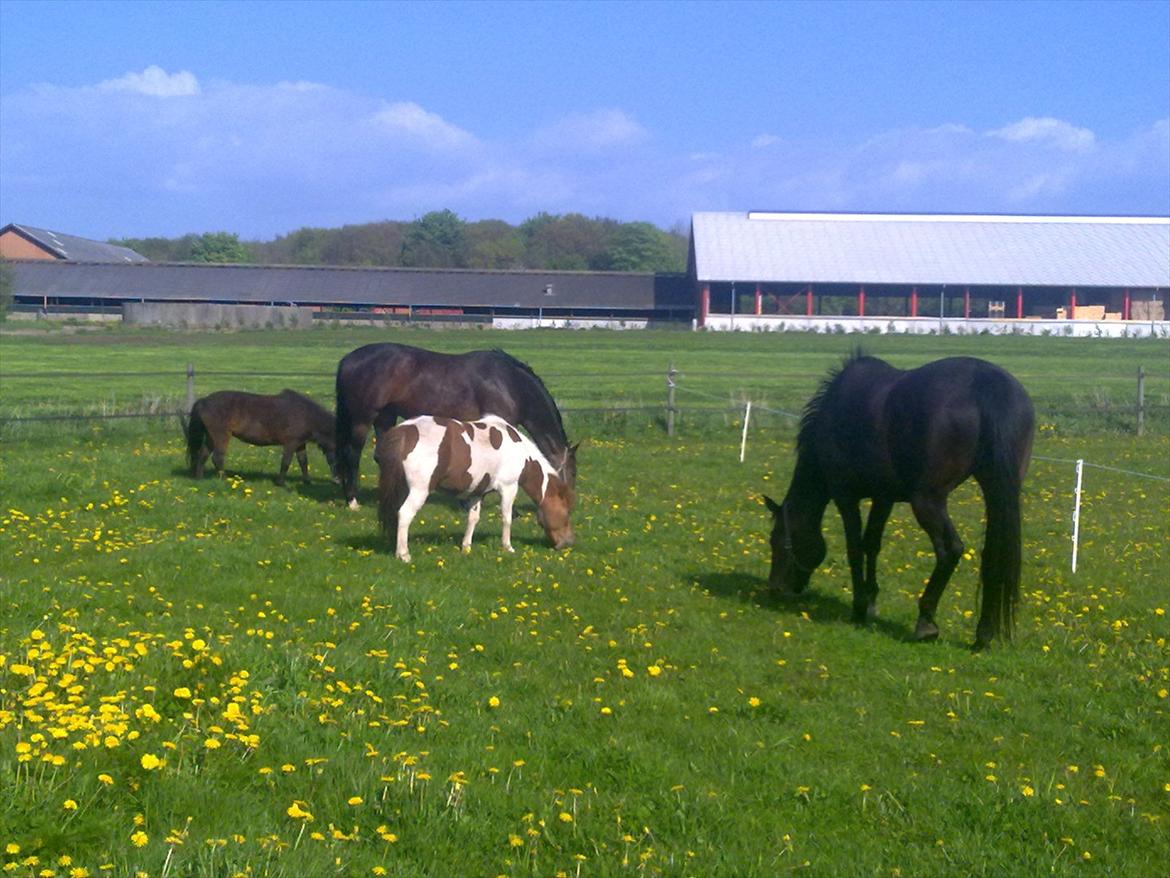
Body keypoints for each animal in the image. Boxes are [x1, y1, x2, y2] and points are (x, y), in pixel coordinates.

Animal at [332, 341, 573, 508]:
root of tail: (347, 360)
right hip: (362, 418)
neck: (510, 384)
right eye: (570, 475)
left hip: (385, 417)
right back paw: (352, 501)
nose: (570, 503)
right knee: (351, 454)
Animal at [374, 414, 575, 564]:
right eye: (566, 512)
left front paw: (466, 547)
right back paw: (403, 554)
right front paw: (508, 547)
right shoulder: (509, 488)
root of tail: (404, 432)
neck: (520, 451)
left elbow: (473, 519)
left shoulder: (478, 492)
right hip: (419, 491)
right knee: (405, 514)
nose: (568, 542)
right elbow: (507, 518)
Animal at [767, 353, 1034, 650]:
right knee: (992, 554)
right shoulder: (883, 498)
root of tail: (985, 383)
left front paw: (859, 608)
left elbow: (854, 548)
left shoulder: (846, 496)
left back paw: (926, 623)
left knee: (949, 549)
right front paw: (871, 601)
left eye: (777, 542)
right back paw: (983, 634)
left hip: (927, 500)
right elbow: (872, 544)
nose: (775, 588)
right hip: (994, 490)